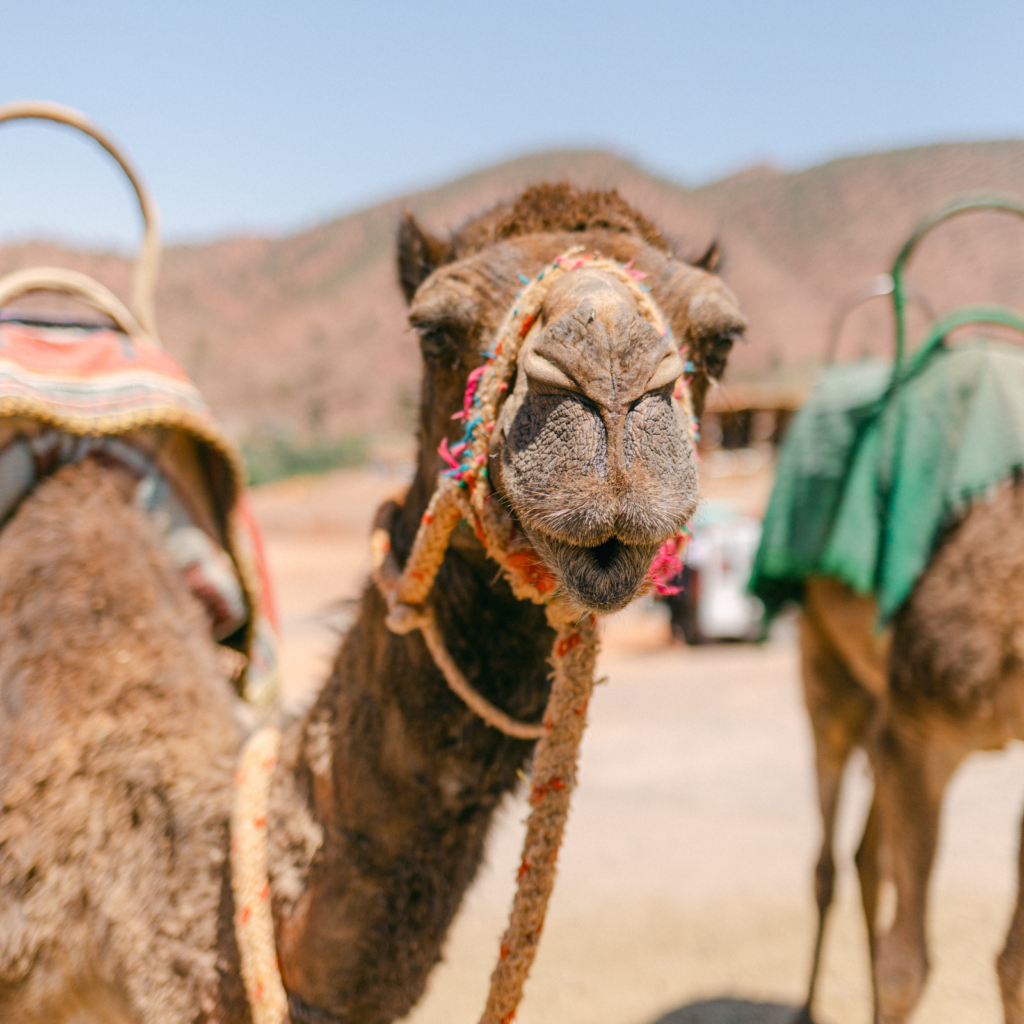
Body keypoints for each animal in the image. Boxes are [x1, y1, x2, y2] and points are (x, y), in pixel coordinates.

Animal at [798, 483, 1024, 1019]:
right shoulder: (919, 729)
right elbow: (903, 970)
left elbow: (1015, 967)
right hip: (823, 660)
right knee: (827, 862)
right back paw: (806, 1010)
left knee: (868, 860)